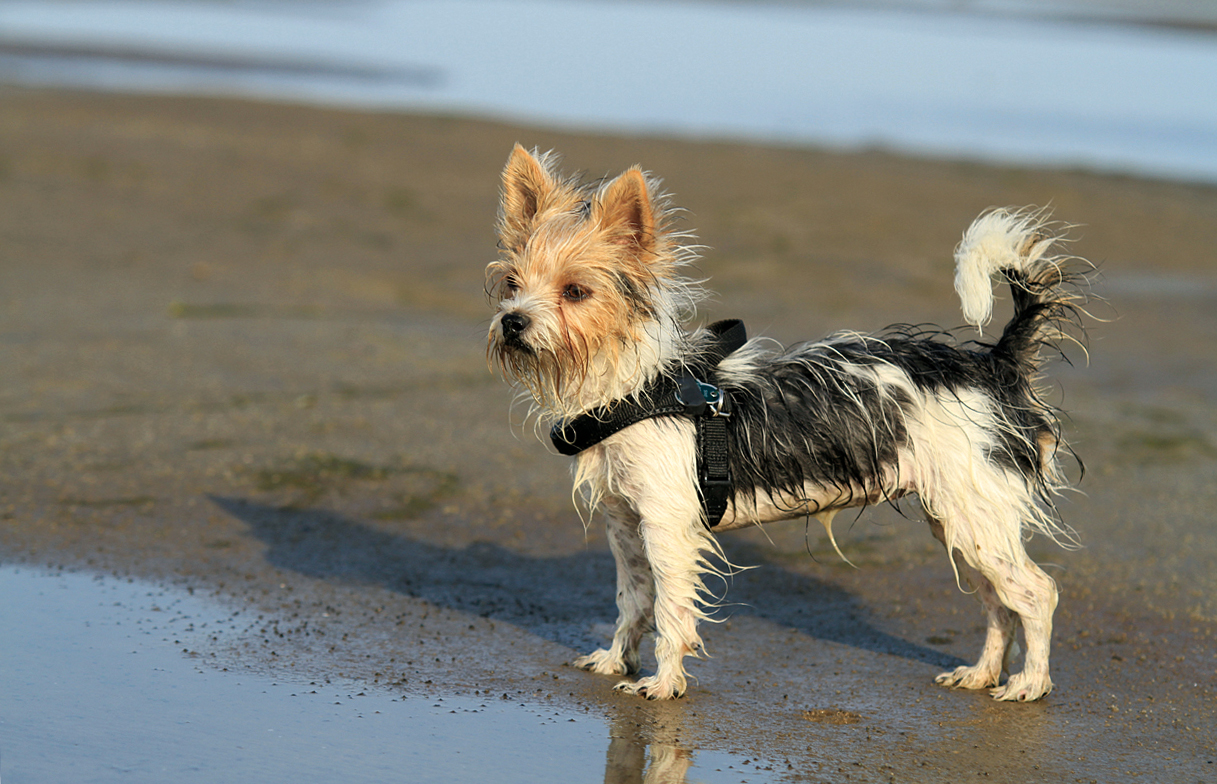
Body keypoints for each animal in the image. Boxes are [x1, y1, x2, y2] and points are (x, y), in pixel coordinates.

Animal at [484, 143, 1095, 701]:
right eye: (513, 284)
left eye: (575, 292)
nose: (513, 322)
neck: (633, 387)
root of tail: (994, 363)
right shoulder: (625, 523)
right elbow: (633, 601)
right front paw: (617, 660)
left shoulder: (666, 528)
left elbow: (671, 612)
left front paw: (664, 682)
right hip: (961, 521)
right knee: (999, 602)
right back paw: (984, 673)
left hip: (976, 516)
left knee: (1036, 593)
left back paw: (1030, 683)